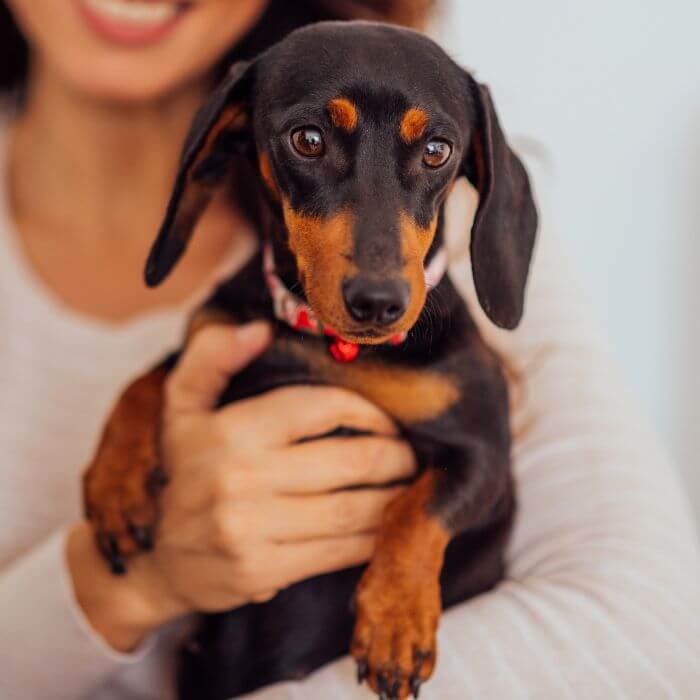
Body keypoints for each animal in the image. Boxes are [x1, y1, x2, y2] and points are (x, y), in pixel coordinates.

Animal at [85, 20, 540, 700]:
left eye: (438, 150)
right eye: (308, 139)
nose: (379, 302)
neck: (328, 346)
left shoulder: (486, 454)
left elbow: (419, 509)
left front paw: (394, 623)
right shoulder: (212, 337)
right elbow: (145, 383)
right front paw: (115, 485)